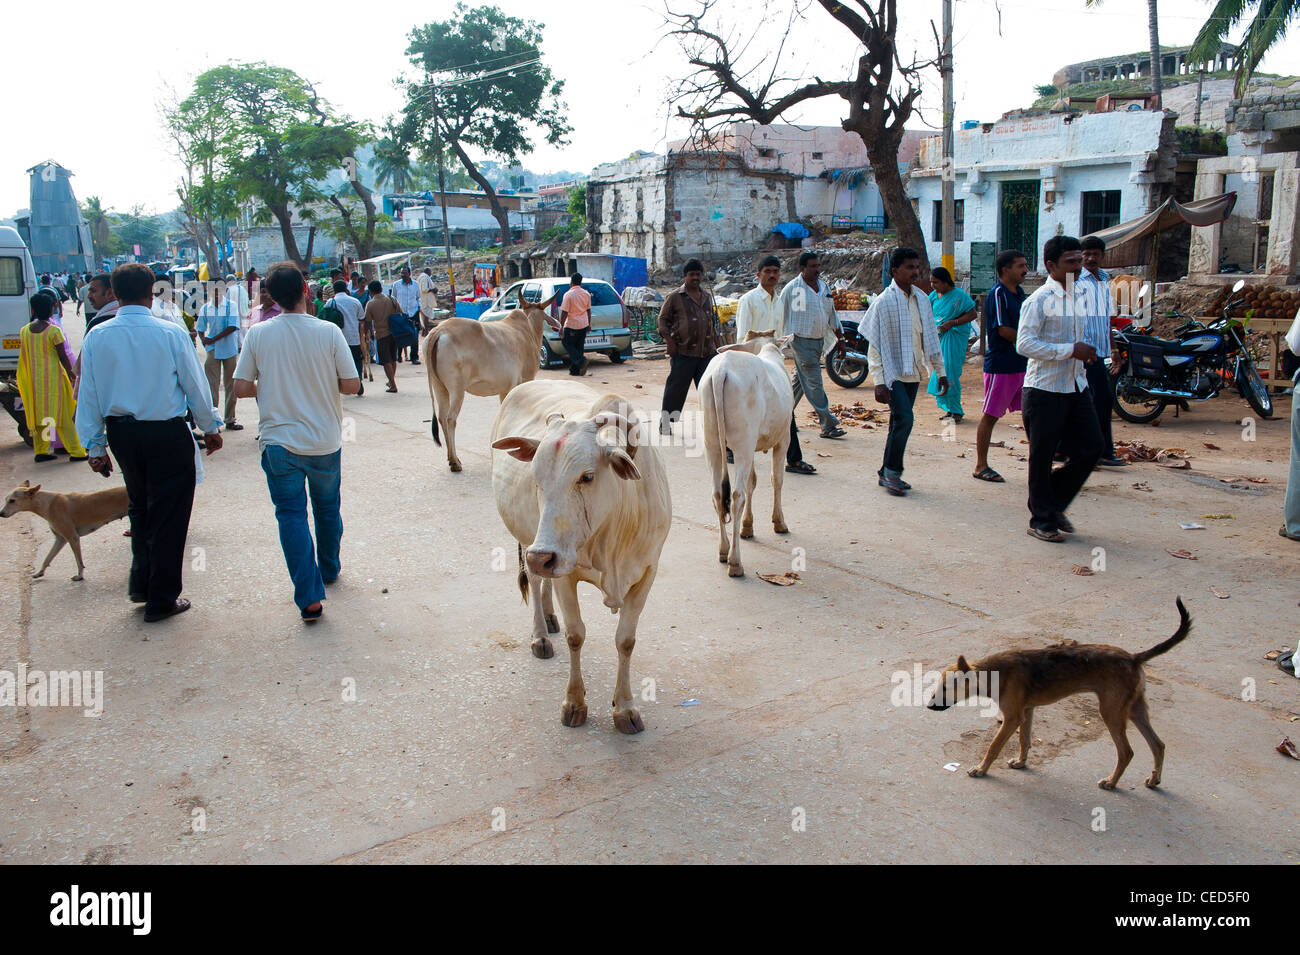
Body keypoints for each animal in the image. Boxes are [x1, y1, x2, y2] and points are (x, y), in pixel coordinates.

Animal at [0, 480, 130, 579]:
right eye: (5, 499)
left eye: (12, 500)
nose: (1, 513)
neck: (48, 504)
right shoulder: (60, 539)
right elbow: (47, 558)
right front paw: (39, 572)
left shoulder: (72, 537)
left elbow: (79, 561)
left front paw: (80, 576)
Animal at [488, 379, 670, 732]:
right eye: (535, 477)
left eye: (587, 476)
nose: (542, 556)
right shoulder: (564, 572)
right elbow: (576, 635)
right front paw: (575, 702)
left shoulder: (647, 573)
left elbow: (626, 640)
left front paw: (625, 708)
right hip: (529, 540)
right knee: (535, 582)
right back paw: (541, 635)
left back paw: (549, 616)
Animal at [702, 332, 790, 579]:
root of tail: (721, 369)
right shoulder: (784, 438)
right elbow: (776, 479)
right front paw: (779, 522)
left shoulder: (753, 447)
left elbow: (753, 482)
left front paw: (747, 526)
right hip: (743, 444)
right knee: (737, 495)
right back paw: (735, 562)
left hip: (713, 443)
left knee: (717, 494)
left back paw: (723, 551)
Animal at [925, 597, 1190, 789]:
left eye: (945, 688)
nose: (928, 707)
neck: (995, 672)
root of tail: (1134, 658)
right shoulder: (1026, 712)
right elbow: (1024, 740)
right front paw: (1021, 762)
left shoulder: (1012, 718)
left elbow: (994, 746)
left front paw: (981, 769)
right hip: (1135, 709)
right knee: (1158, 745)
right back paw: (1154, 779)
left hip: (1112, 712)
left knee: (1127, 752)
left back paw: (1111, 783)